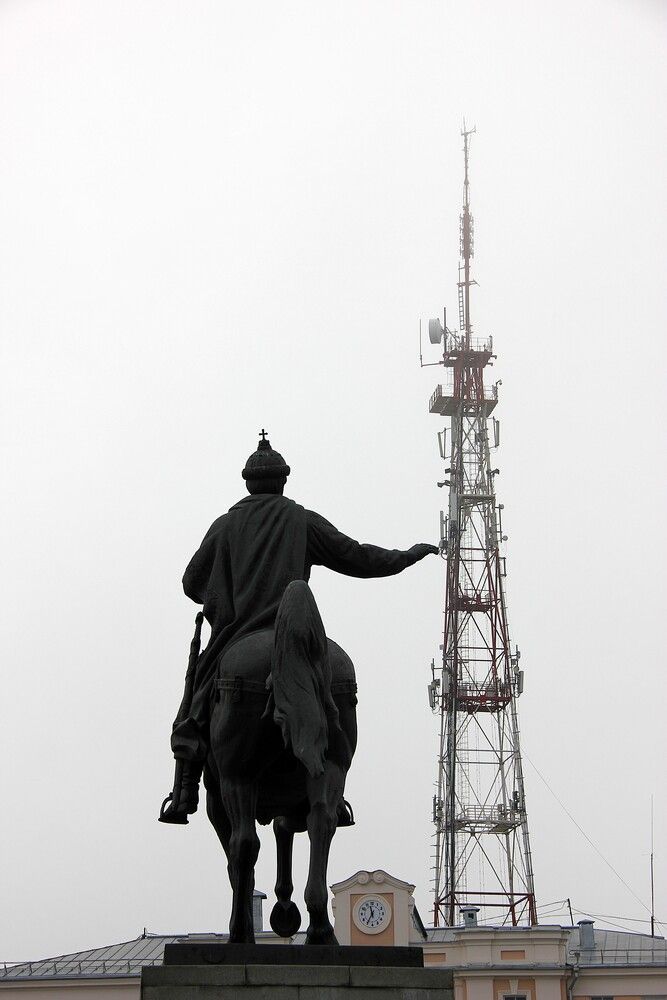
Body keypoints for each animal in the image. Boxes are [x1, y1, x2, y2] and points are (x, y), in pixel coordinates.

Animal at [202, 579, 358, 944]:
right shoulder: (293, 799)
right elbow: (285, 829)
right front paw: (286, 909)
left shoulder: (217, 800)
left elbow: (237, 858)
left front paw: (278, 911)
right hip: (332, 766)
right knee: (322, 822)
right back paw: (319, 927)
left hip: (236, 777)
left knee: (243, 844)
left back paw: (240, 933)